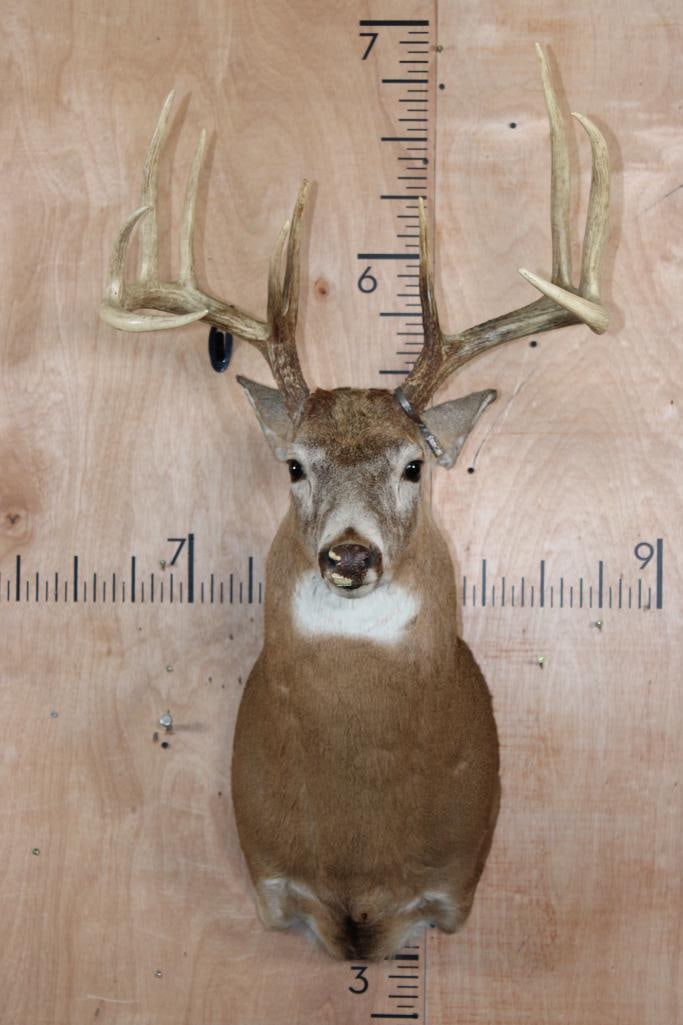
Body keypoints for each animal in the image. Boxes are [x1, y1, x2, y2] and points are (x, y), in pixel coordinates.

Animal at [100, 45, 609, 961]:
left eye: (413, 466)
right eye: (294, 466)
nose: (348, 553)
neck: (358, 852)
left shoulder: (448, 886)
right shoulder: (274, 880)